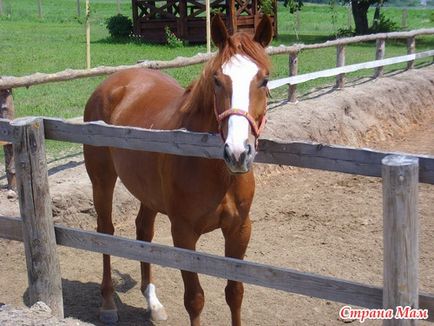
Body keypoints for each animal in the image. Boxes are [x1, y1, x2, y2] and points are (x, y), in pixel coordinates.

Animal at [84, 15, 272, 326]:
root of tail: (111, 84)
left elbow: (235, 293)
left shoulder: (240, 230)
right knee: (105, 231)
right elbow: (194, 299)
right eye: (217, 80)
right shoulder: (183, 234)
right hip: (102, 180)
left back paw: (153, 303)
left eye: (264, 80)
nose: (237, 153)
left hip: (147, 193)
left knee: (143, 232)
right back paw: (108, 303)